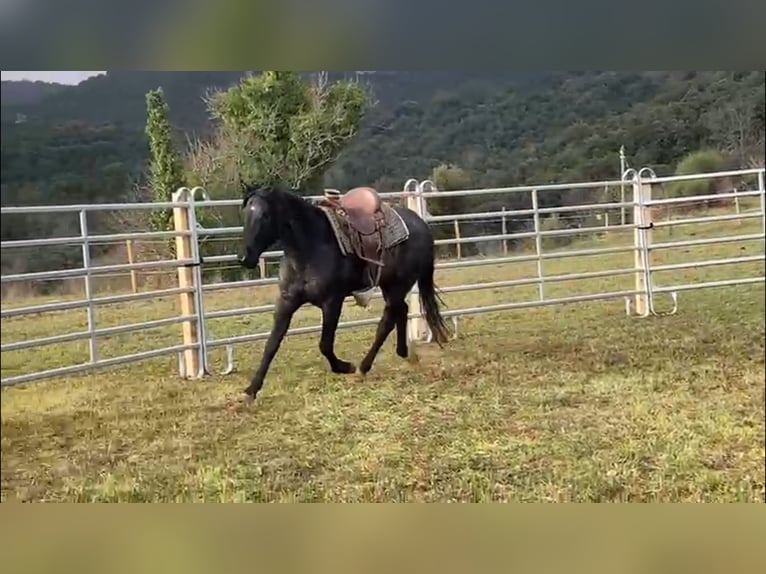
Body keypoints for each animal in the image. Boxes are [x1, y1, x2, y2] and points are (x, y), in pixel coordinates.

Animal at [240, 186, 452, 404]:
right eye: (246, 213)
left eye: (265, 216)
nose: (244, 258)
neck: (312, 245)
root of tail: (421, 225)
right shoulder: (286, 302)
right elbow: (271, 344)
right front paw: (252, 389)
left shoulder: (332, 302)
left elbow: (325, 344)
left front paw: (344, 367)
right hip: (390, 285)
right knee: (400, 311)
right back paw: (404, 353)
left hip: (398, 286)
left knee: (387, 321)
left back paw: (363, 368)